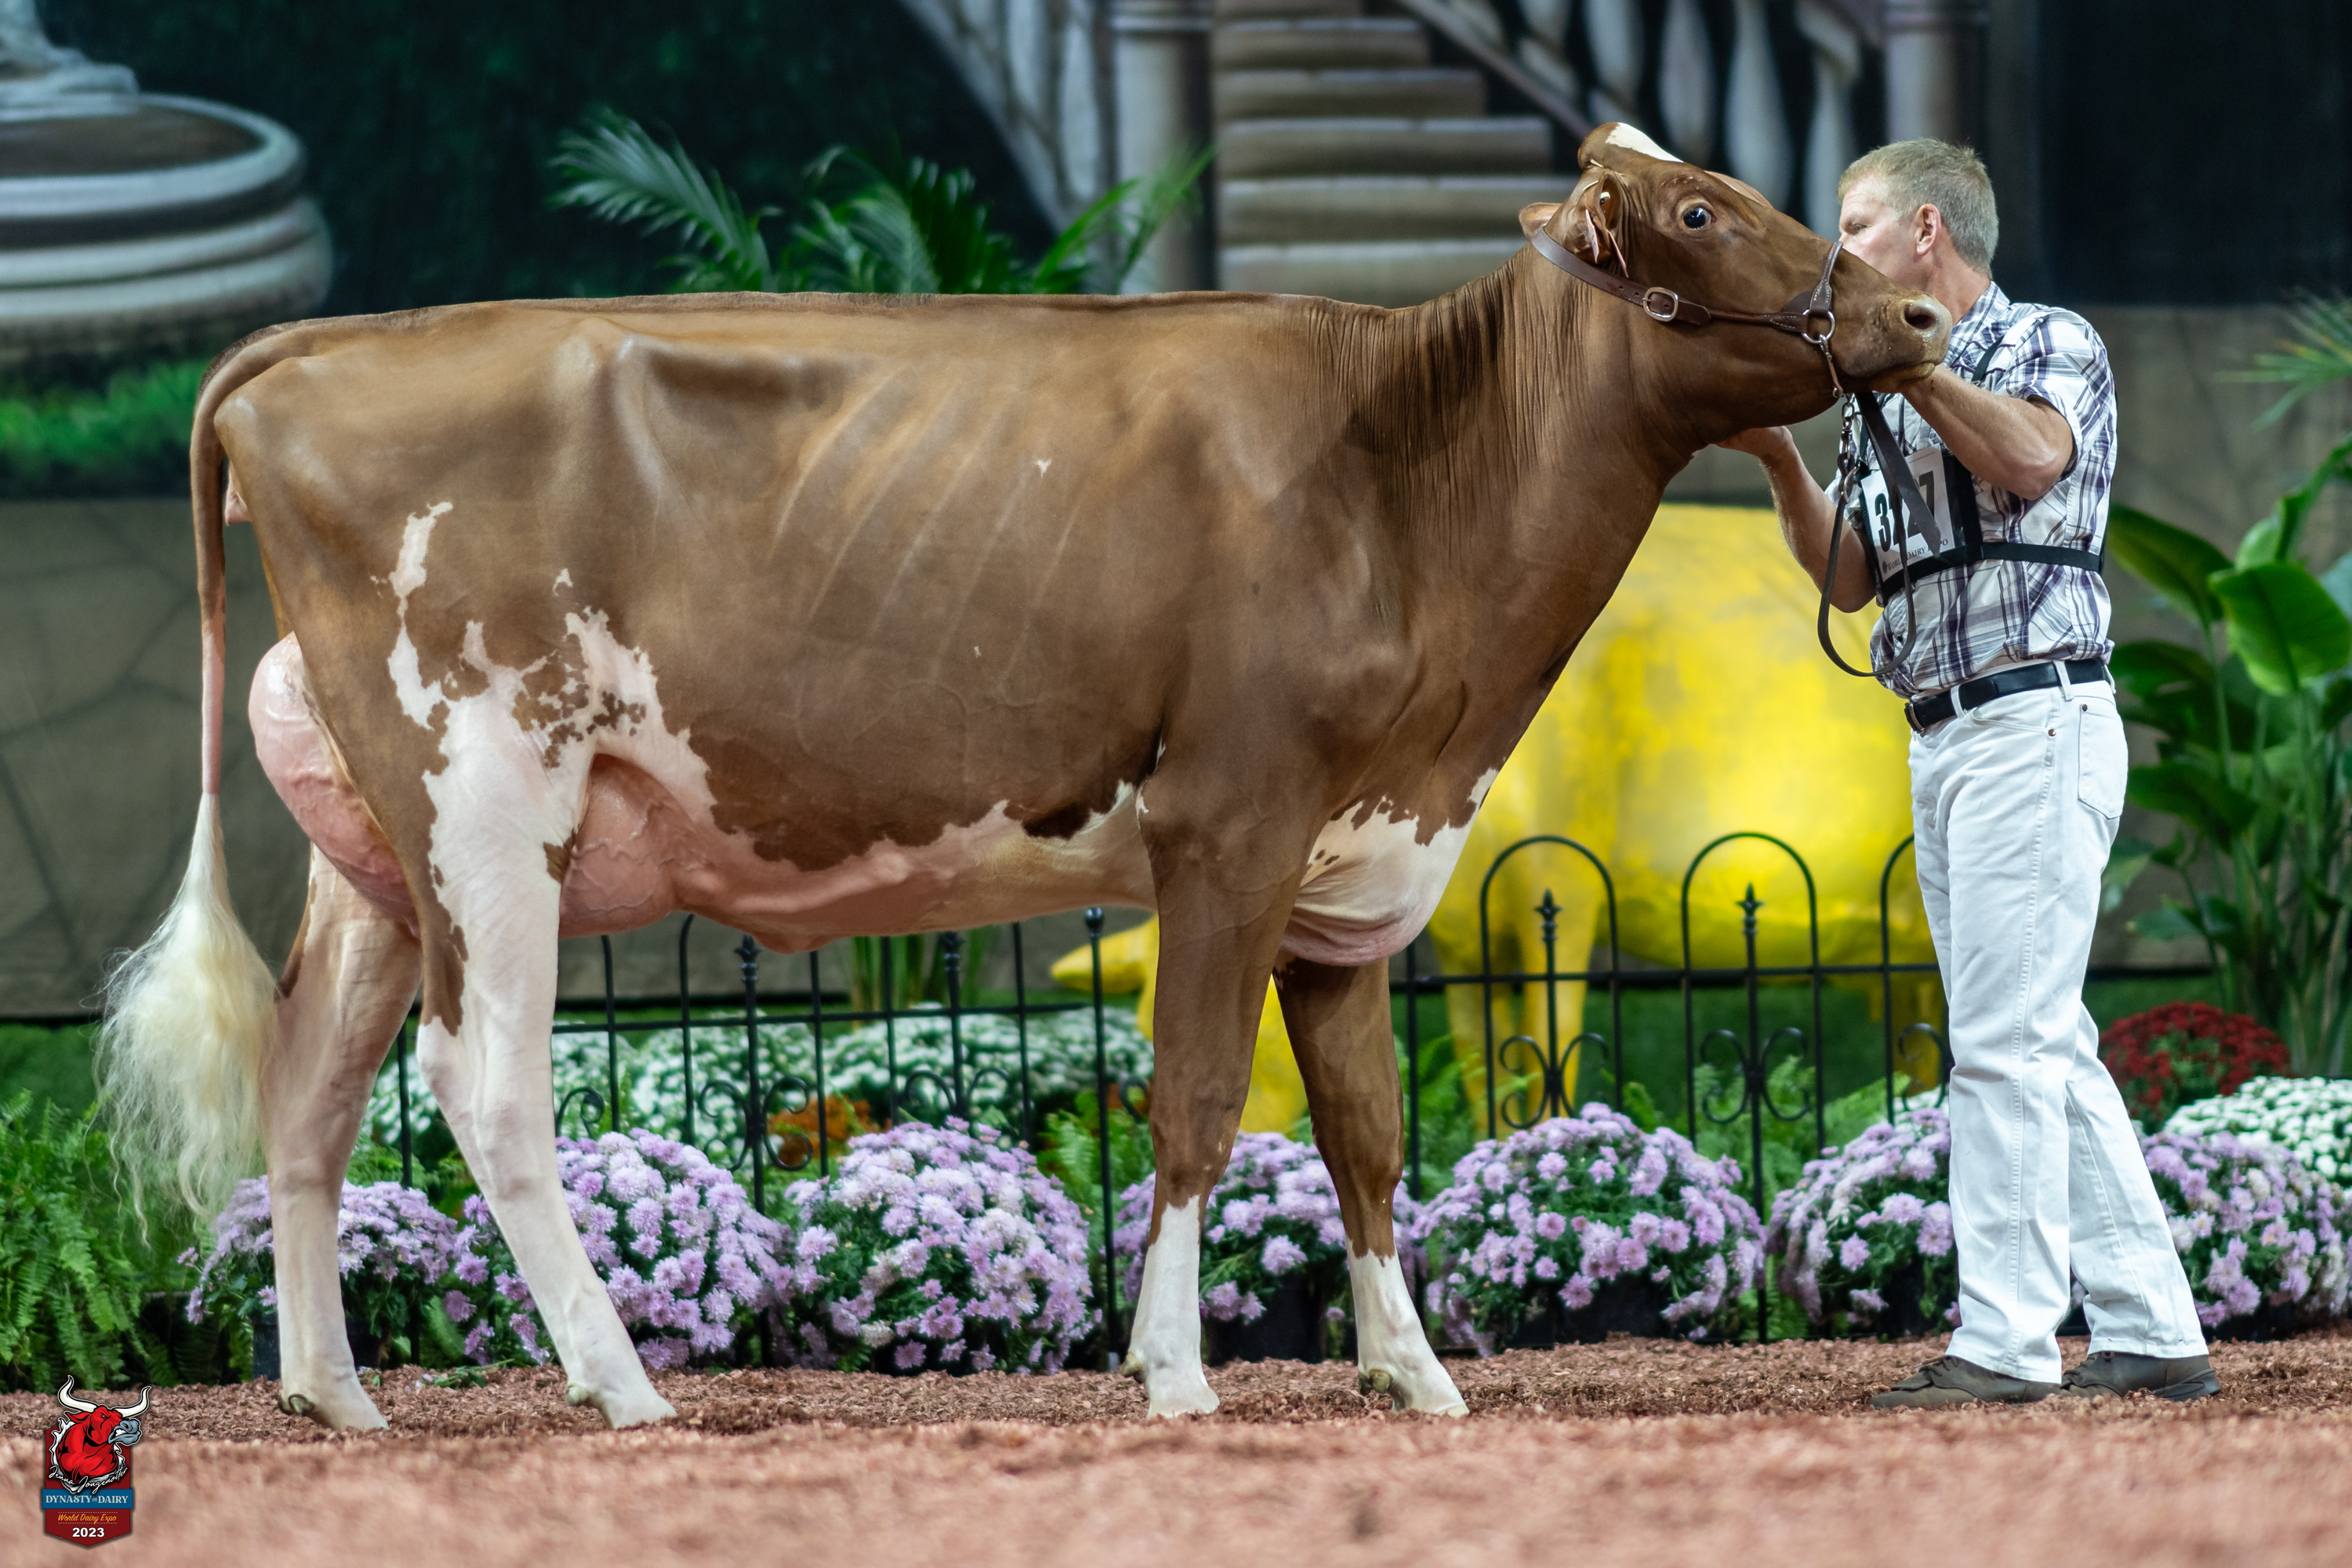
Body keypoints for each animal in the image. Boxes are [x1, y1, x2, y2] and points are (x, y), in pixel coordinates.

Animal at [98, 122, 1945, 1431]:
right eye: (1697, 215)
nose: (1916, 312)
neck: (1406, 485)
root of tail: (318, 346)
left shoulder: (1353, 865)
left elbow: (1368, 1130)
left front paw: (1413, 1374)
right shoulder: (1230, 821)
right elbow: (1197, 1101)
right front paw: (1176, 1370)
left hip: (376, 848)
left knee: (309, 1084)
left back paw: (335, 1394)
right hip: (487, 798)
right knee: (482, 1088)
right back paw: (618, 1384)